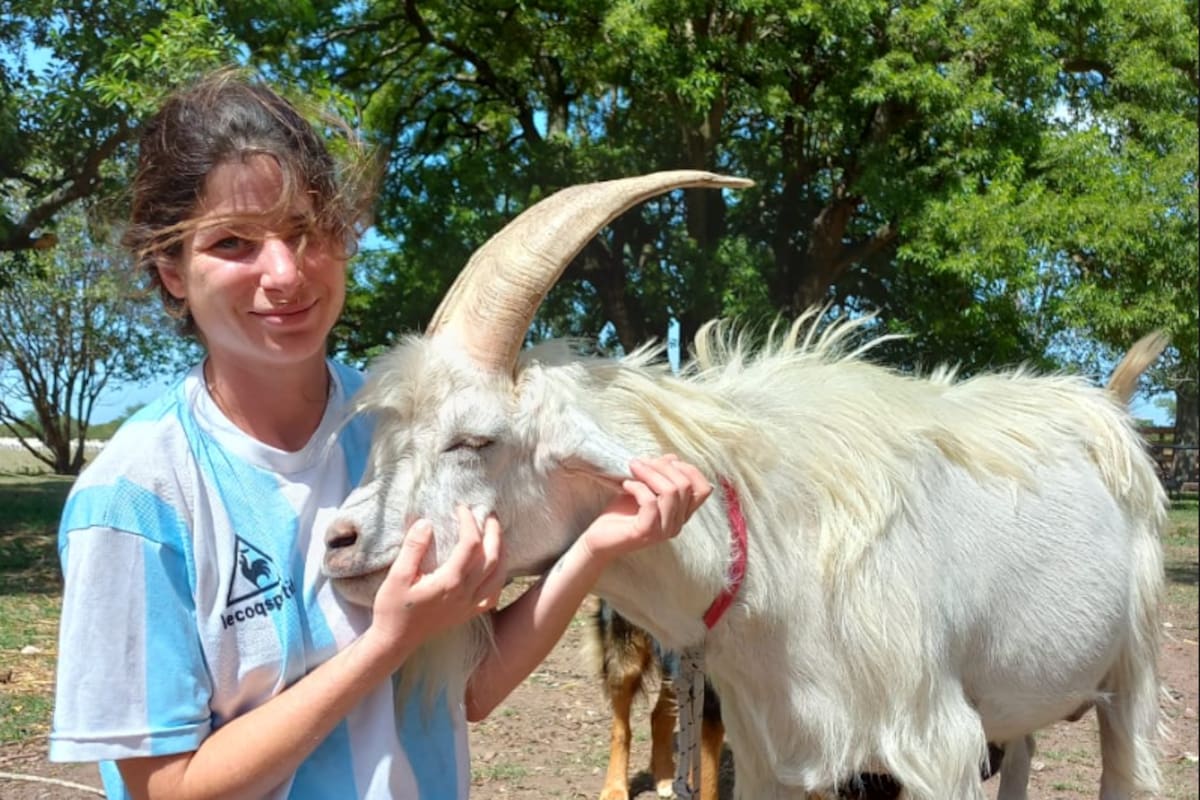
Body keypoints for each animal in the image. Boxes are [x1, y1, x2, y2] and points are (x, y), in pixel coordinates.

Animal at [322, 171, 1168, 800]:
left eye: (476, 439)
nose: (339, 542)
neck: (772, 555)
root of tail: (1104, 408)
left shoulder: (938, 746)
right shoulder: (773, 753)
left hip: (1132, 671)